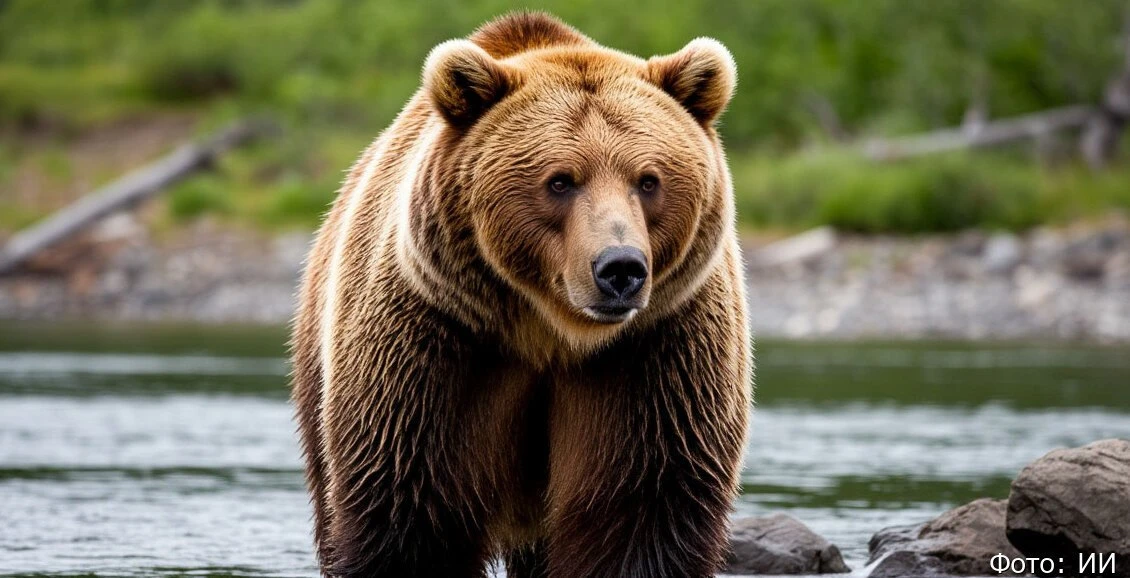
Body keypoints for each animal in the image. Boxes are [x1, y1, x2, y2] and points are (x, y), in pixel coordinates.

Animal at [291, 12, 752, 578]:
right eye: (560, 181)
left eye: (648, 180)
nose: (620, 268)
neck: (548, 331)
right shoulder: (435, 344)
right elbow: (408, 511)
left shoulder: (657, 353)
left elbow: (639, 510)